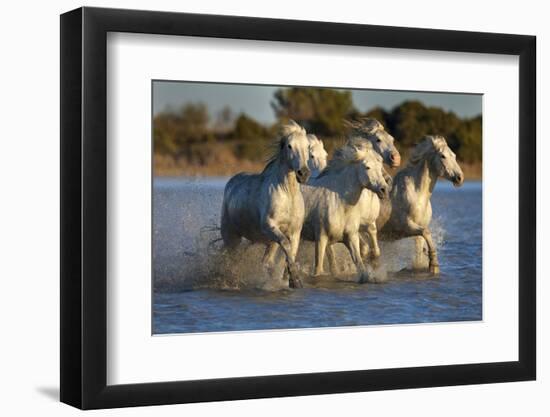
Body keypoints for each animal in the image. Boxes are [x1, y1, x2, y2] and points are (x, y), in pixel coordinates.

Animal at [221, 120, 314, 288]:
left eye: (308, 146)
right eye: (289, 146)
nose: (303, 173)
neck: (287, 194)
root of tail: (231, 182)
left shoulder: (295, 231)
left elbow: (290, 252)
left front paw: (290, 280)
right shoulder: (270, 226)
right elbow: (286, 246)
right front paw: (295, 280)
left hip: (268, 242)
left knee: (265, 261)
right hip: (231, 237)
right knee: (231, 260)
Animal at [302, 141, 388, 282]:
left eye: (380, 166)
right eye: (367, 167)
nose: (384, 189)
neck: (340, 202)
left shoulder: (351, 236)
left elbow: (361, 266)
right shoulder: (321, 237)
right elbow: (318, 270)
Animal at [380, 135, 466, 274]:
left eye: (454, 155)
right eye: (442, 156)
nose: (460, 178)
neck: (417, 196)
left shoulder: (417, 231)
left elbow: (420, 249)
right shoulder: (405, 226)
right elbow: (427, 233)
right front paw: (434, 265)